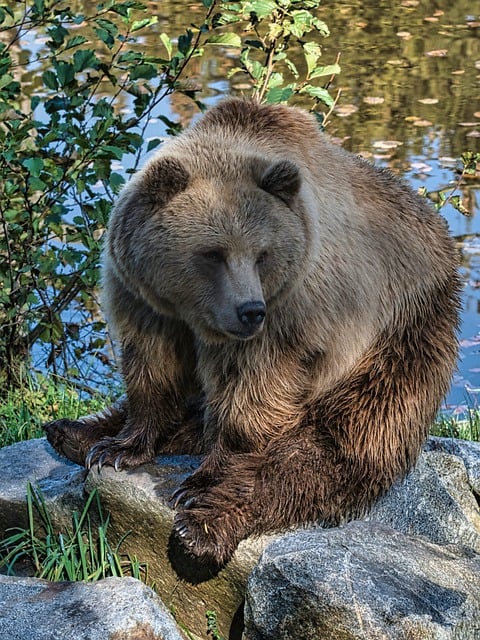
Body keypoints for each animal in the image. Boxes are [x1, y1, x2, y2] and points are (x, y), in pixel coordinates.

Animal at [46, 99, 462, 568]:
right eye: (212, 253)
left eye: (262, 254)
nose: (250, 311)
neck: (196, 314)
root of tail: (444, 239)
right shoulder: (144, 299)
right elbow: (153, 366)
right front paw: (119, 447)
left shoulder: (292, 315)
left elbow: (254, 401)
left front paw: (203, 483)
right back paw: (72, 432)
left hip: (397, 339)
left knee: (334, 447)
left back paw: (203, 527)